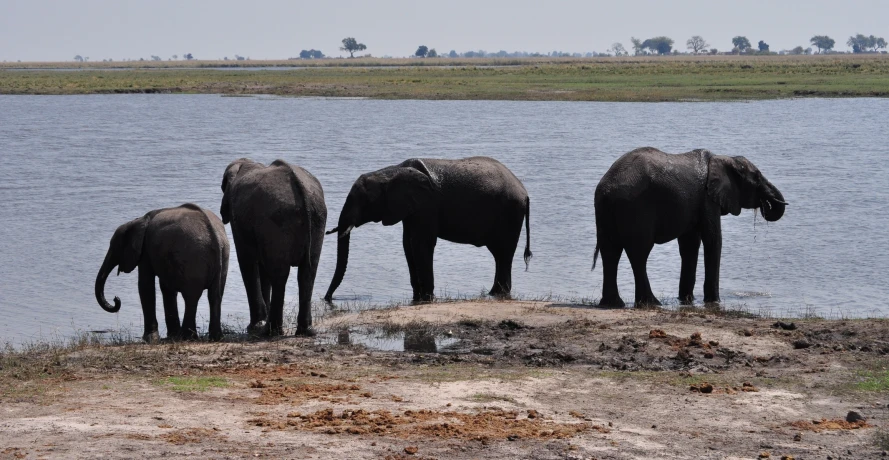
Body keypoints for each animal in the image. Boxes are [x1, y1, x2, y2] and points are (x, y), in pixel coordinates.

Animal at [94, 204, 229, 342]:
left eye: (114, 247)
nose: (116, 299)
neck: (138, 221)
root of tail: (215, 237)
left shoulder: (146, 251)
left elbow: (145, 285)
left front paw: (149, 339)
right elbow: (166, 288)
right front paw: (171, 335)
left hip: (194, 258)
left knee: (191, 296)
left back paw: (187, 337)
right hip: (222, 256)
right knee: (214, 295)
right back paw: (215, 337)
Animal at [220, 160, 328, 336]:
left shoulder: (240, 220)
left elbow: (247, 262)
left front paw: (254, 327)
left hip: (276, 221)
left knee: (279, 275)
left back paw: (270, 330)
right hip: (317, 219)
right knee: (307, 273)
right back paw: (305, 330)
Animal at [324, 156, 532, 304]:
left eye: (365, 201)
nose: (327, 299)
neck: (391, 171)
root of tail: (524, 192)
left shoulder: (426, 204)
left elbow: (420, 243)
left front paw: (426, 298)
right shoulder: (410, 208)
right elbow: (407, 244)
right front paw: (418, 298)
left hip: (510, 212)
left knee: (503, 253)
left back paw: (498, 293)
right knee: (500, 255)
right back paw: (495, 294)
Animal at [592, 147, 788, 308]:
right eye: (757, 177)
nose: (768, 204)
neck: (723, 158)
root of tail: (607, 188)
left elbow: (690, 245)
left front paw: (686, 300)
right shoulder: (707, 199)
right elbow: (713, 241)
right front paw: (713, 301)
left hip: (604, 210)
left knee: (610, 252)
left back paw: (613, 304)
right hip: (636, 208)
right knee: (639, 253)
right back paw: (651, 303)